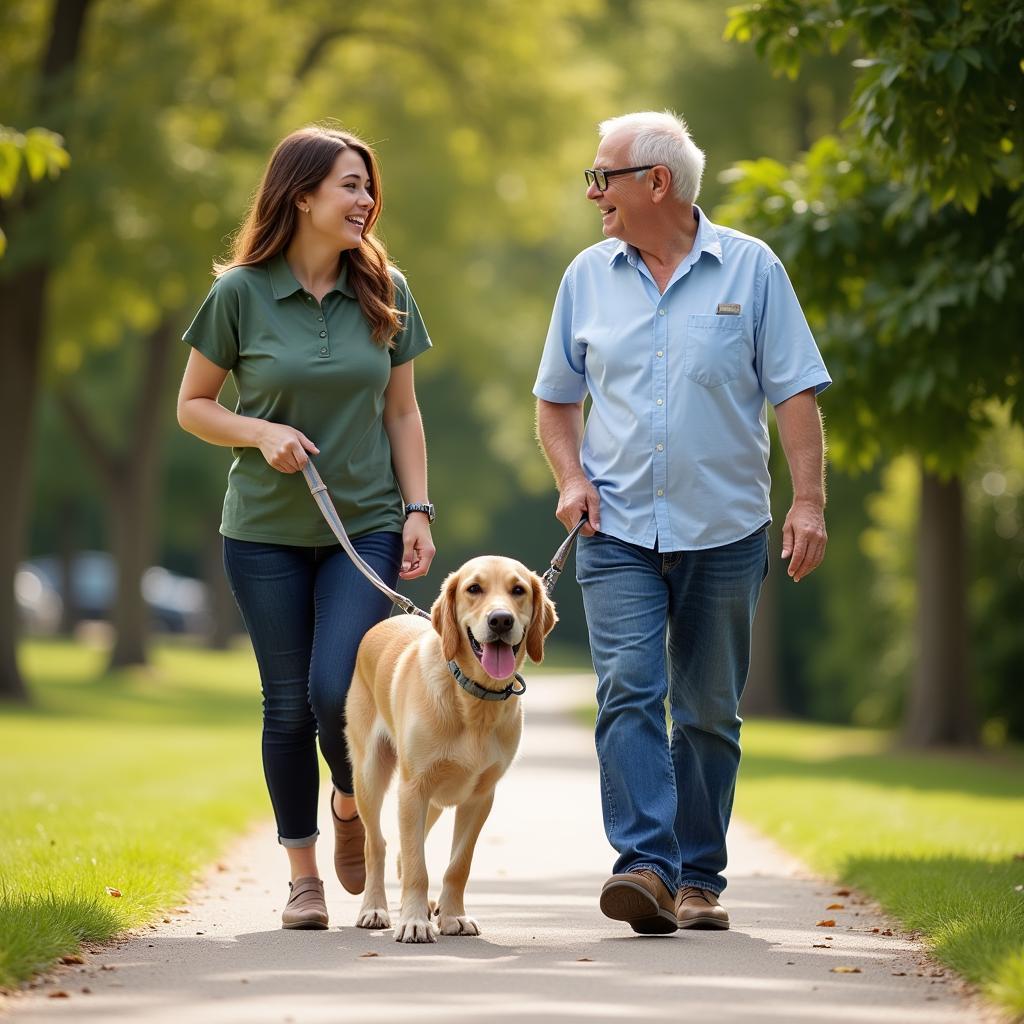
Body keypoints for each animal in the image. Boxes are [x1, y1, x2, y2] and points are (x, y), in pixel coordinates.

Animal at [344, 561, 557, 942]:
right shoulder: (413, 788)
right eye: (474, 589)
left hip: (435, 800)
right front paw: (414, 921)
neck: (474, 699)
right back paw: (374, 908)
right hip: (370, 775)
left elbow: (458, 864)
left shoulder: (480, 796)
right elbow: (418, 865)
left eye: (518, 590)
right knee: (377, 845)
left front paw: (453, 915)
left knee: (404, 850)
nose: (500, 620)